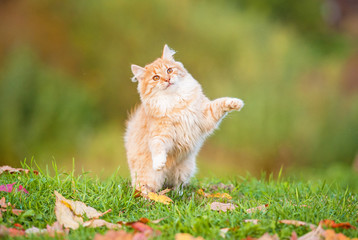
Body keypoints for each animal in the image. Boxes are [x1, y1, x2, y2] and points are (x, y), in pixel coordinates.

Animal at [124, 45, 245, 194]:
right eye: (156, 77)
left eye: (169, 70)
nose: (167, 79)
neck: (176, 102)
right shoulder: (161, 134)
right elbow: (157, 146)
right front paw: (159, 162)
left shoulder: (205, 115)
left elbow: (220, 103)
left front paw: (236, 103)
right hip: (148, 178)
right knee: (143, 189)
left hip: (185, 169)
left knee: (177, 185)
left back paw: (178, 193)